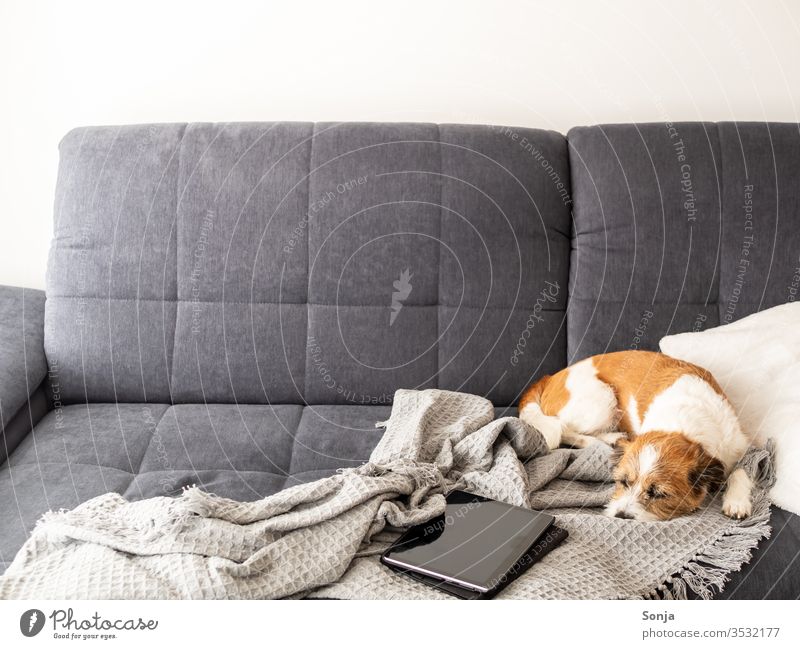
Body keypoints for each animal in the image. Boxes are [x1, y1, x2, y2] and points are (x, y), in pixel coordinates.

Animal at [520, 350, 756, 520]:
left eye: (658, 494)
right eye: (624, 482)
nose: (621, 516)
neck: (683, 427)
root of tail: (551, 377)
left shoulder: (739, 447)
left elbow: (741, 470)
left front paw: (736, 501)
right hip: (601, 399)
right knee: (564, 429)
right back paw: (601, 440)